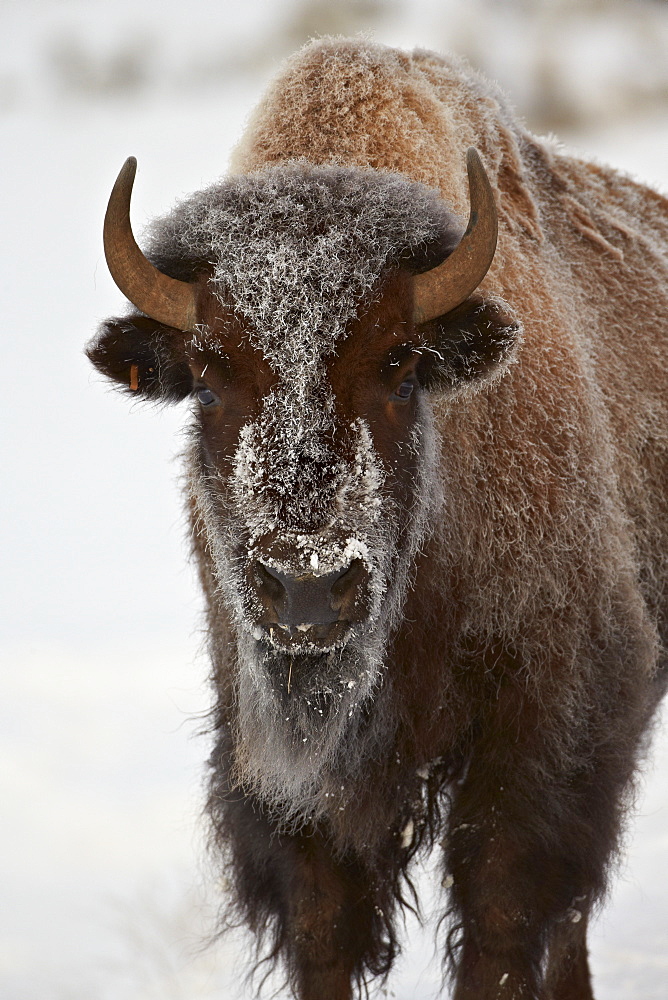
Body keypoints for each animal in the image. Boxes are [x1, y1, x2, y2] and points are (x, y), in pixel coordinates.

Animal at [87, 37, 668, 1000]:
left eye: (400, 363)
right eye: (206, 376)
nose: (307, 588)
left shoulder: (551, 723)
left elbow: (505, 920)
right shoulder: (280, 771)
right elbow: (325, 927)